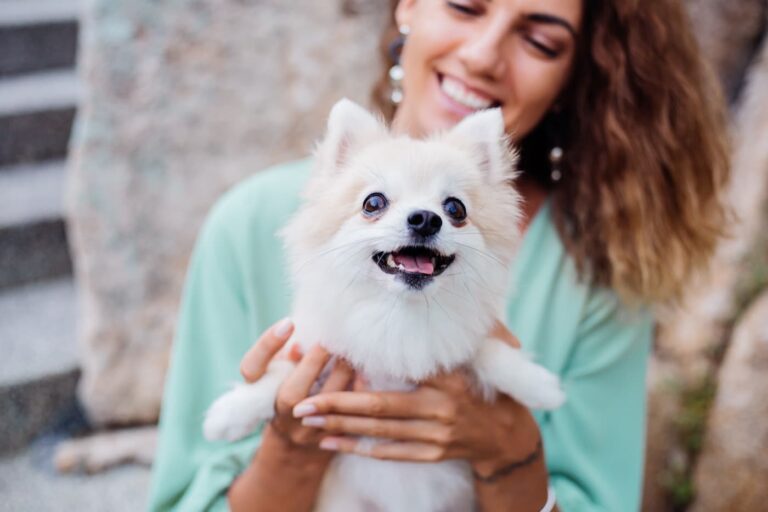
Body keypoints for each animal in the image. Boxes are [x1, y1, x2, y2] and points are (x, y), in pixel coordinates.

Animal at [204, 98, 564, 510]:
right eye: (373, 203)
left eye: (455, 208)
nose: (425, 219)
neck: (398, 310)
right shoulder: (321, 349)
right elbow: (280, 374)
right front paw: (230, 412)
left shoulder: (460, 337)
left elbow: (486, 350)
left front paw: (536, 383)